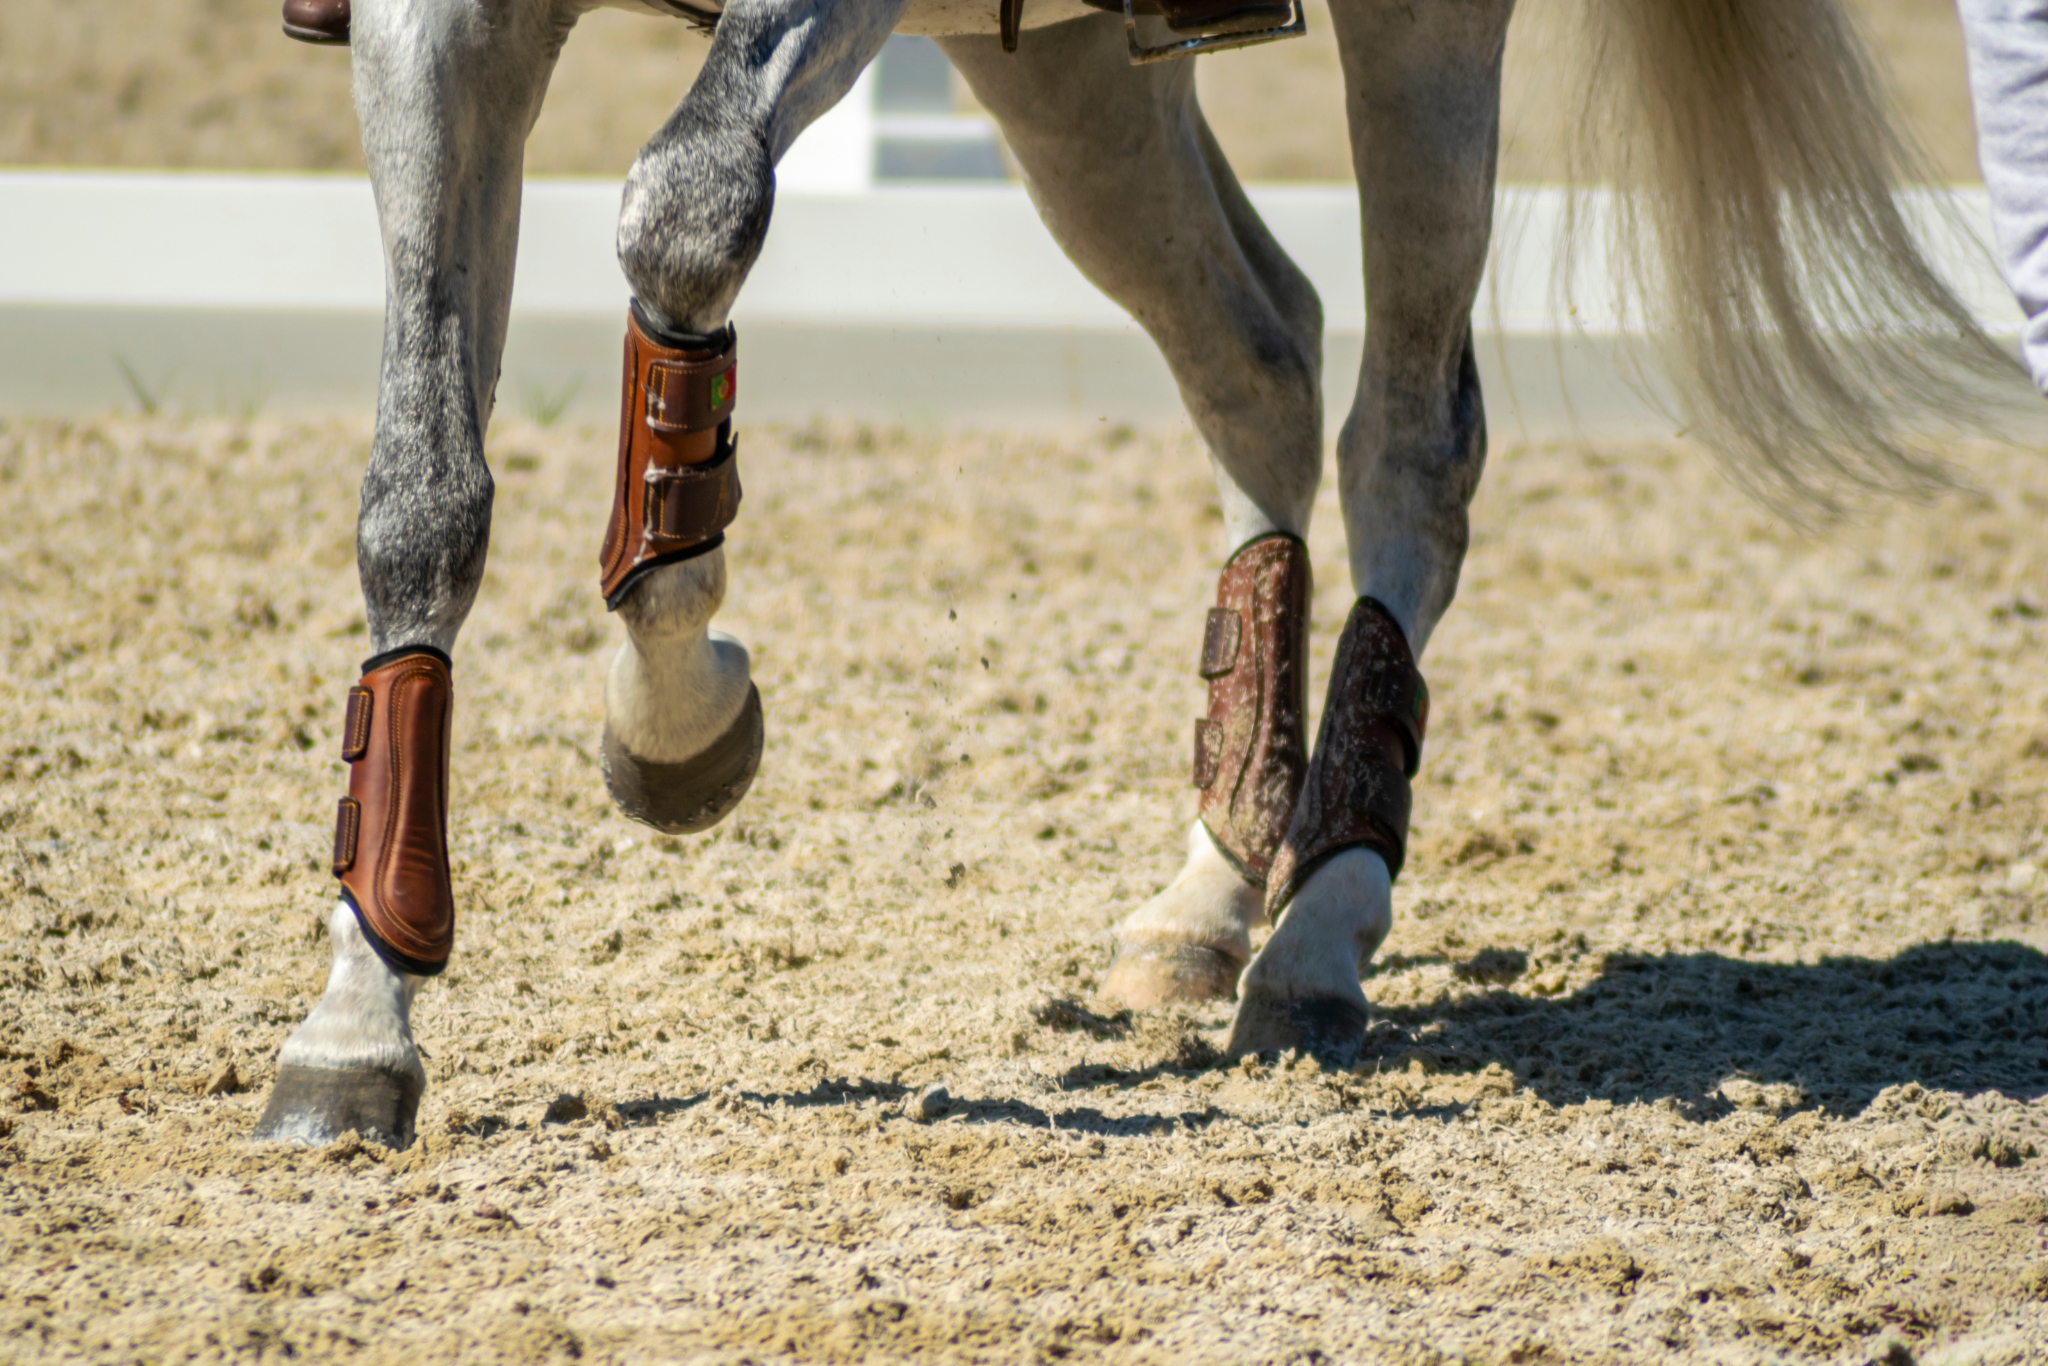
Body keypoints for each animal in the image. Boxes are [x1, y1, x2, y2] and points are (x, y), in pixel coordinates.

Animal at [253, 0, 2014, 1149]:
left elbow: (687, 212)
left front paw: (681, 719)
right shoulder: (436, 18)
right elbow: (422, 496)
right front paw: (358, 1018)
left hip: (1416, 31)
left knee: (1410, 438)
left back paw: (1319, 929)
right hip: (1063, 64)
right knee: (1261, 351)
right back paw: (1211, 890)